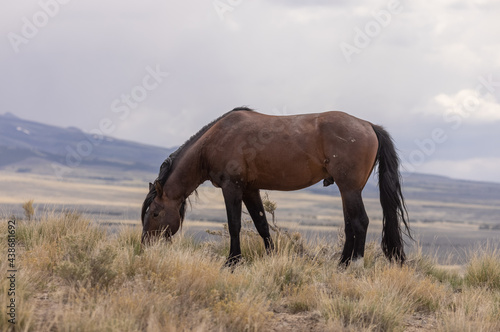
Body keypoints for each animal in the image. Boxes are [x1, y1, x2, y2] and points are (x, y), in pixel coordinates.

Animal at [141, 107, 410, 266]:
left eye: (154, 213)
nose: (144, 245)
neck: (214, 141)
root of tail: (368, 125)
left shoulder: (232, 187)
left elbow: (235, 225)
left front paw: (232, 261)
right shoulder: (250, 189)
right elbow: (262, 224)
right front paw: (270, 257)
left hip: (350, 189)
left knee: (360, 222)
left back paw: (353, 265)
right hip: (347, 191)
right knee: (349, 225)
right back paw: (342, 264)